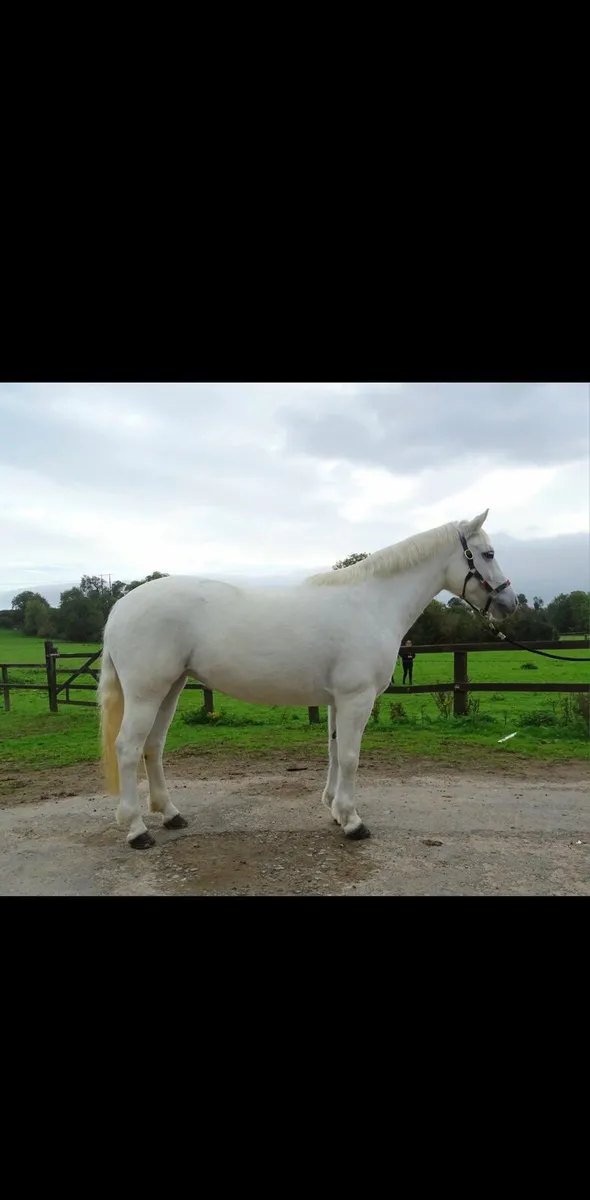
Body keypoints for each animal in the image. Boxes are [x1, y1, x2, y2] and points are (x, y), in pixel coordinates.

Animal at [98, 509, 517, 849]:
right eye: (488, 554)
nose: (509, 604)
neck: (373, 603)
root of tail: (121, 606)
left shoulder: (337, 700)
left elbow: (333, 752)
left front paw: (334, 810)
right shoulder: (357, 698)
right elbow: (350, 756)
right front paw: (353, 822)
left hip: (170, 689)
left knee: (153, 746)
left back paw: (171, 814)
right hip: (146, 693)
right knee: (128, 748)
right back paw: (137, 830)